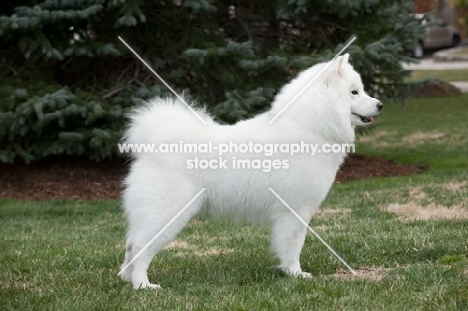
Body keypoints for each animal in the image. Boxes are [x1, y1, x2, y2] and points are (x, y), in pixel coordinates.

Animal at [119, 53, 382, 290]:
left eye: (361, 90)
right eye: (354, 92)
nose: (380, 104)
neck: (311, 127)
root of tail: (154, 143)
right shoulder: (295, 210)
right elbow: (293, 245)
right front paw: (295, 274)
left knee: (130, 244)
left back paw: (126, 278)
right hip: (167, 212)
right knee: (140, 247)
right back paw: (143, 285)